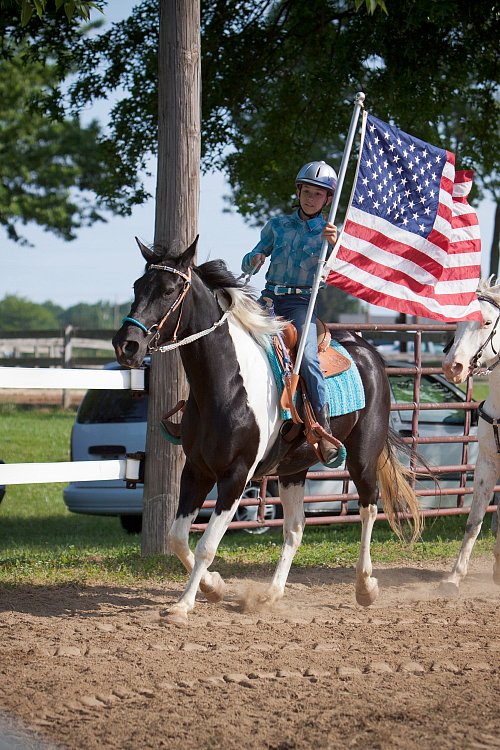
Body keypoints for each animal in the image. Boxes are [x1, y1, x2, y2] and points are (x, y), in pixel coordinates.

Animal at [113, 238, 422, 624]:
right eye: (137, 286)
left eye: (169, 290)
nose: (126, 345)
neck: (225, 384)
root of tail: (368, 352)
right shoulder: (196, 470)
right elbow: (178, 537)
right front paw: (214, 587)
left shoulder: (236, 475)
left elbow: (207, 544)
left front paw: (183, 605)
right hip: (292, 470)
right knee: (295, 528)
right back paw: (271, 595)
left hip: (363, 456)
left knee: (368, 508)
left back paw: (365, 587)